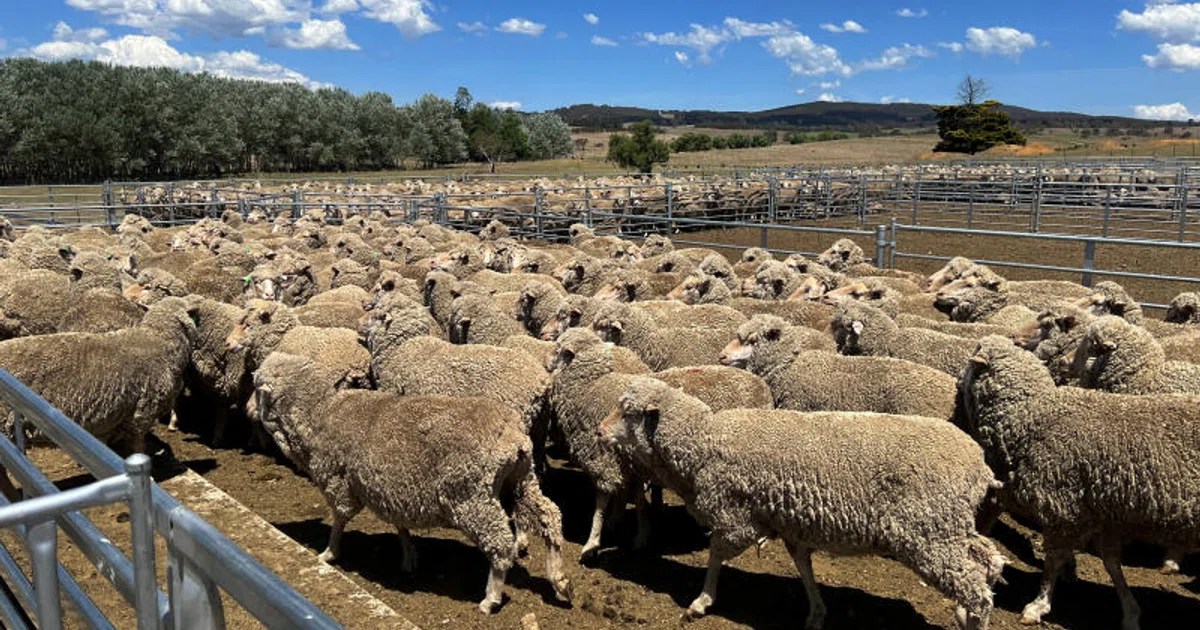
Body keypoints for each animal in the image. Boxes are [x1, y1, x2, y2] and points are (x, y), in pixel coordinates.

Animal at [251, 353, 571, 613]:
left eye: (255, 387)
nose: (248, 411)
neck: (319, 412)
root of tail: (512, 436)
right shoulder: (393, 491)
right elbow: (400, 526)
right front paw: (409, 559)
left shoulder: (338, 483)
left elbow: (339, 521)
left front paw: (329, 553)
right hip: (521, 481)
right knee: (549, 516)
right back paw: (559, 577)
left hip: (471, 496)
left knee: (501, 543)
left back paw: (491, 597)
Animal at [598, 377, 1005, 630]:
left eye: (628, 412)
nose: (599, 432)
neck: (703, 440)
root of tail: (979, 465)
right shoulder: (787, 521)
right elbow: (803, 565)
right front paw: (817, 612)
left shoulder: (736, 517)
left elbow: (714, 556)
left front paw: (701, 602)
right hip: (948, 526)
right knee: (989, 560)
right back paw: (964, 610)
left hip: (929, 533)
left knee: (976, 588)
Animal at [956, 336, 1200, 630]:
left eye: (973, 358)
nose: (956, 383)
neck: (1032, 415)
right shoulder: (1105, 513)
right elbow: (1111, 562)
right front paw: (1130, 611)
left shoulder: (1063, 506)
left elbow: (1054, 560)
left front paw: (1037, 606)